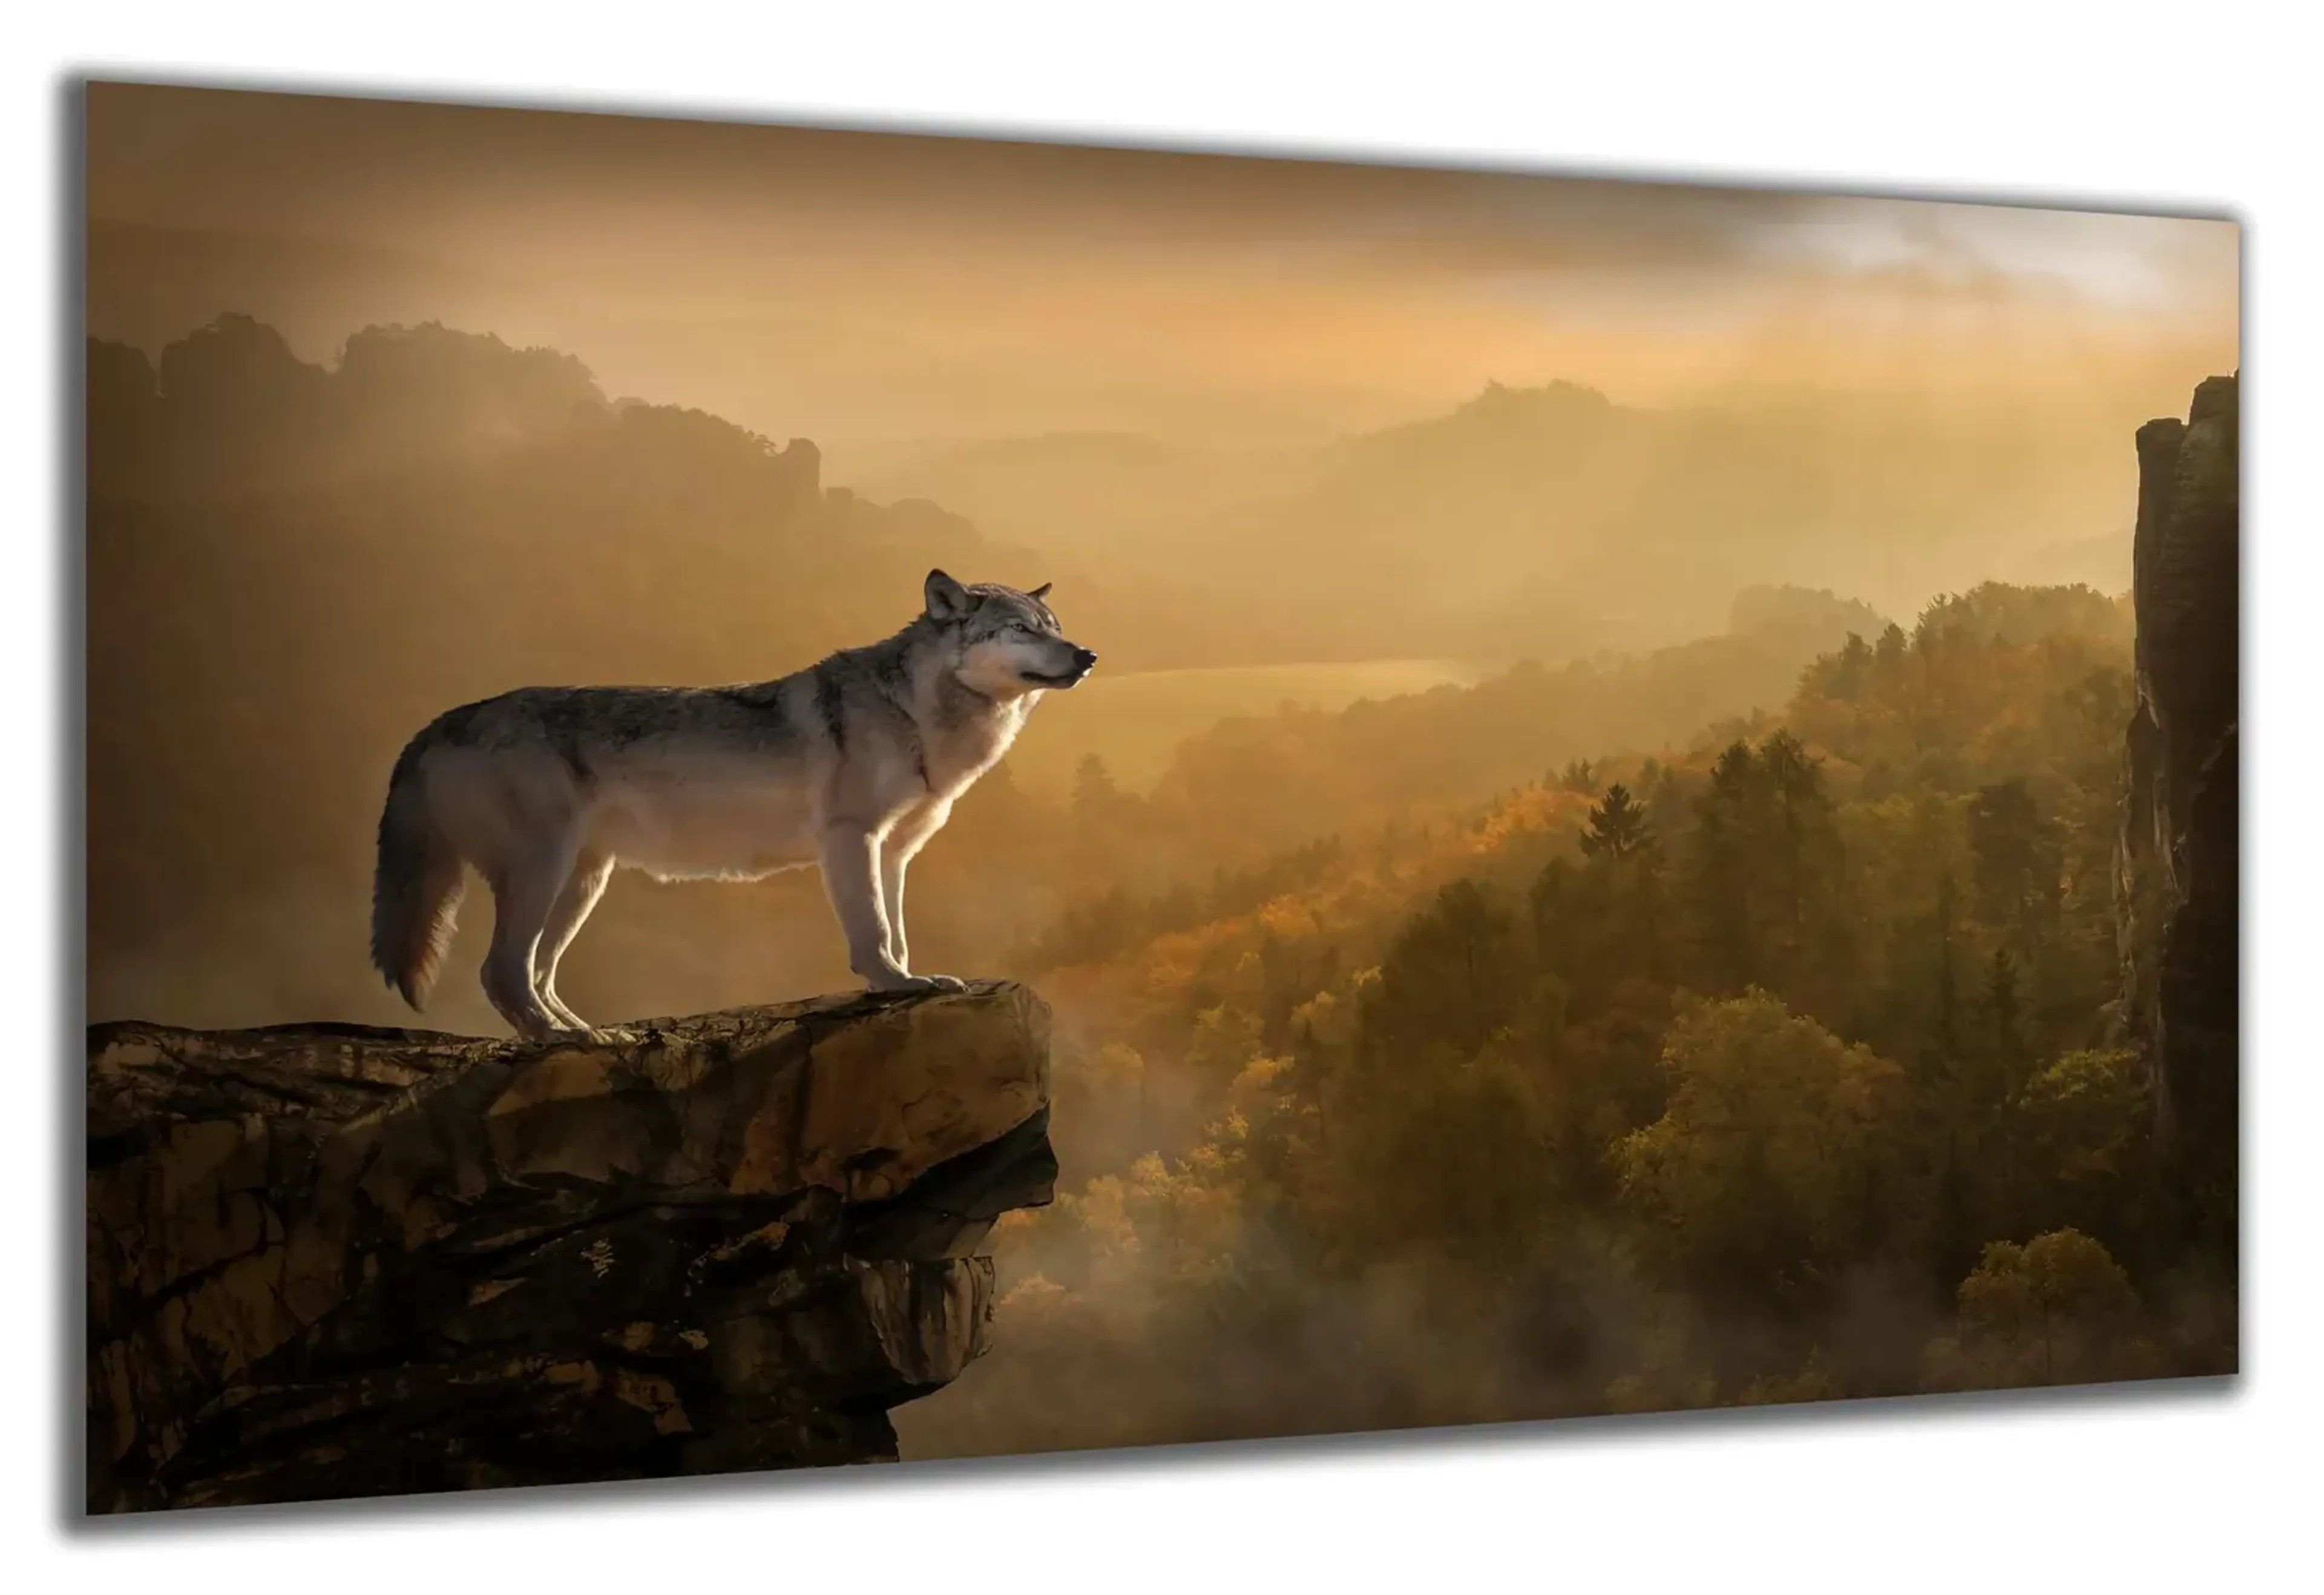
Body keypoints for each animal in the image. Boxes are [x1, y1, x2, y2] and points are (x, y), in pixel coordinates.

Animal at [368, 569, 1096, 1039]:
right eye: (1021, 630)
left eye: (1056, 628)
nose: (1087, 654)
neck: (917, 713)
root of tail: (442, 721)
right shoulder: (850, 839)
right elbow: (874, 932)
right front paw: (893, 983)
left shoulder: (895, 852)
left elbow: (899, 927)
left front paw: (915, 979)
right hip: (544, 873)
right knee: (501, 972)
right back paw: (562, 1040)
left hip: (582, 883)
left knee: (536, 975)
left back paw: (588, 1033)